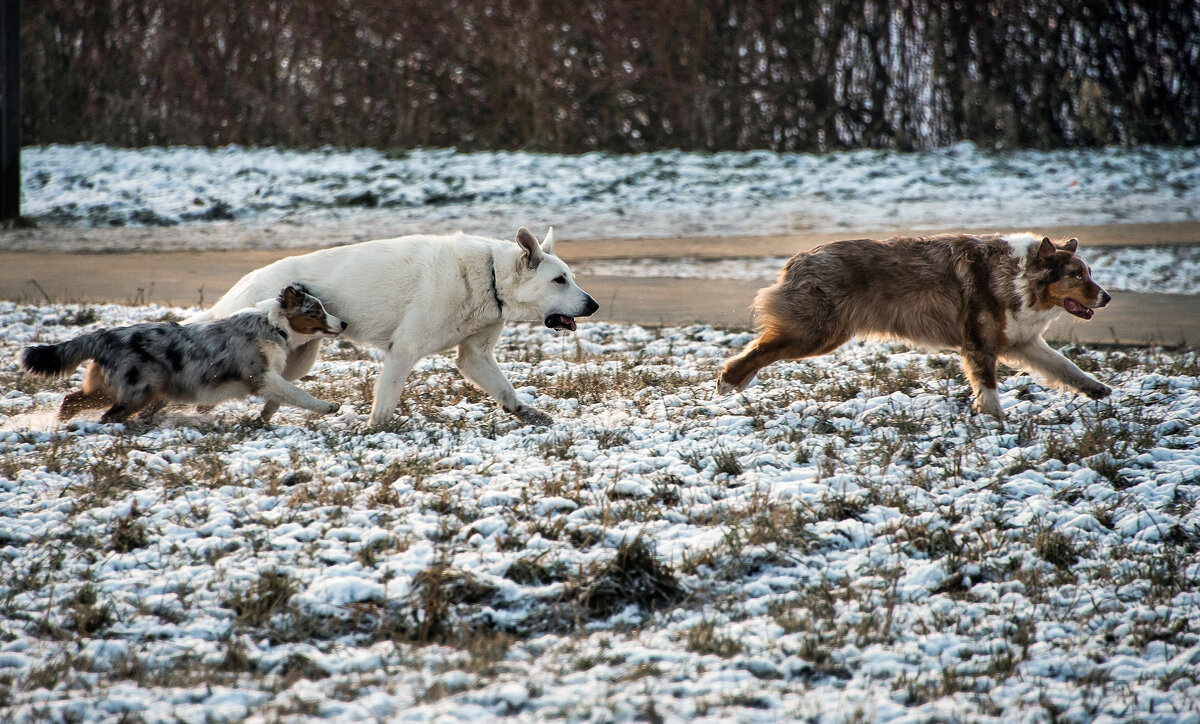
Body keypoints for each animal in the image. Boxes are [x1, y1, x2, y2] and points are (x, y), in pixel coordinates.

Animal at [19, 283, 348, 420]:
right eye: (316, 311)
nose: (343, 323)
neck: (273, 326)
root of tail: (104, 335)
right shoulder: (261, 377)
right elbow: (296, 393)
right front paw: (327, 407)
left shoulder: (269, 378)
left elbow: (282, 397)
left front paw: (265, 416)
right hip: (139, 391)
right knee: (108, 416)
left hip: (109, 389)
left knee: (71, 400)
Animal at [189, 229, 597, 427]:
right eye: (560, 280)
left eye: (571, 277)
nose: (592, 305)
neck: (491, 276)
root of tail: (247, 280)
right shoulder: (404, 351)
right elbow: (385, 403)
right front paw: (376, 431)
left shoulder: (474, 357)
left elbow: (507, 393)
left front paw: (529, 414)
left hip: (299, 359)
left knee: (278, 391)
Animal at [715, 234, 1108, 420]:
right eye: (1076, 275)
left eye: (1088, 273)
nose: (1106, 297)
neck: (1019, 275)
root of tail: (800, 257)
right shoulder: (978, 341)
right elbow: (989, 387)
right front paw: (996, 421)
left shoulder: (1022, 342)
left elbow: (1065, 366)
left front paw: (1097, 389)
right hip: (816, 333)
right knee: (760, 350)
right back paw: (729, 381)